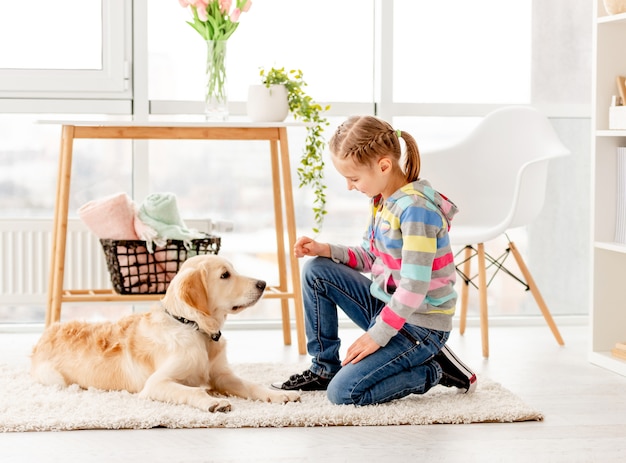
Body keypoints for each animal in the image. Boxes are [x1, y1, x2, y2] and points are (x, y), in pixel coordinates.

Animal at [31, 254, 300, 414]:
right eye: (225, 275)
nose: (263, 284)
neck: (194, 327)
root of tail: (45, 335)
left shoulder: (222, 376)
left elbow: (251, 384)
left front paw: (277, 395)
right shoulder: (156, 383)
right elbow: (192, 390)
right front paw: (212, 401)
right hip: (52, 377)